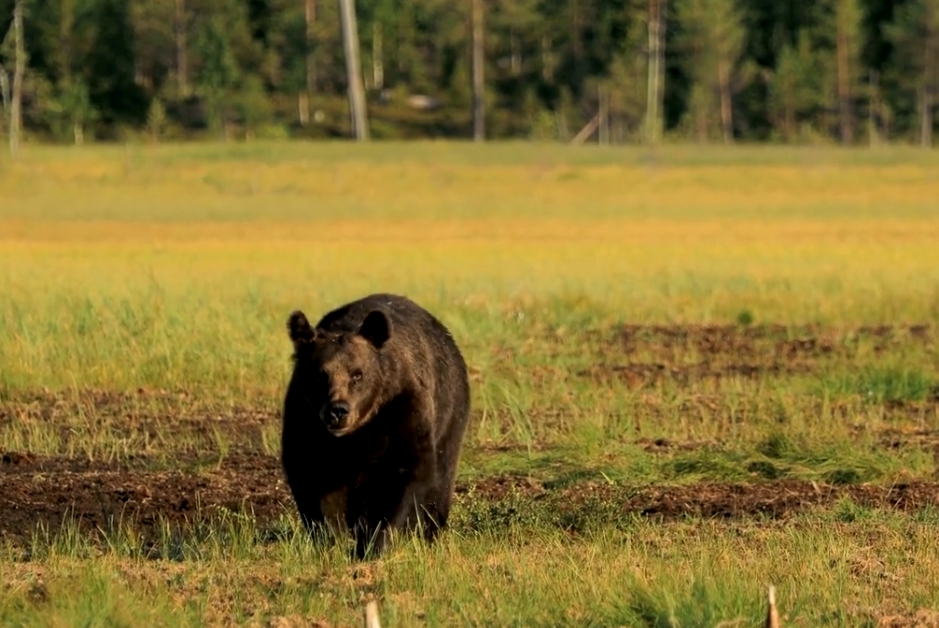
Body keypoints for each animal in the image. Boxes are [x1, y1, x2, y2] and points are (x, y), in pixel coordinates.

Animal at [280, 292, 470, 556]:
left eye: (357, 374)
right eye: (320, 375)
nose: (337, 411)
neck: (359, 432)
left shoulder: (401, 411)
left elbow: (404, 476)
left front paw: (375, 544)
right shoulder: (305, 419)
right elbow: (311, 476)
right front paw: (332, 542)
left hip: (450, 414)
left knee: (439, 484)